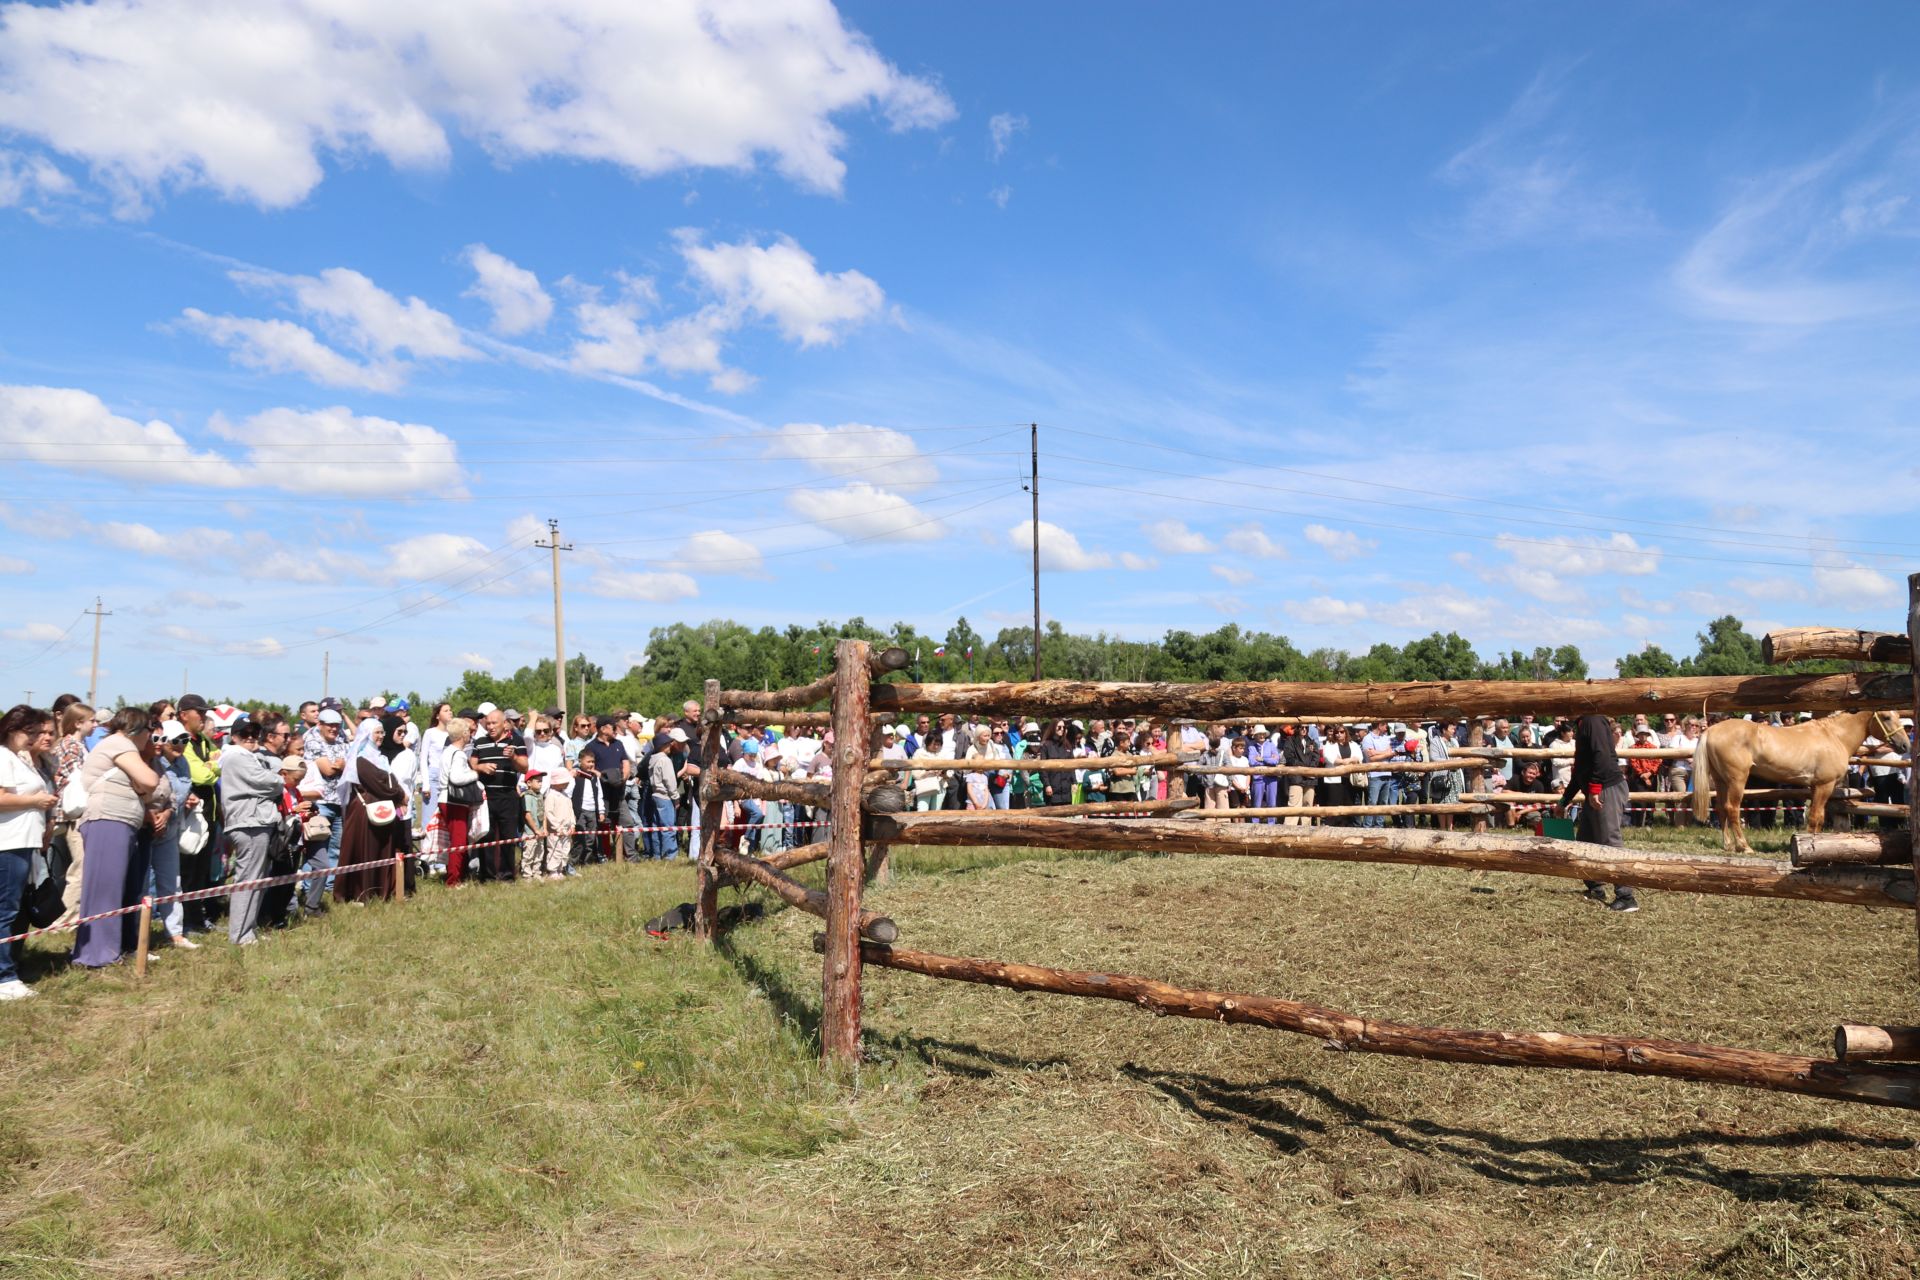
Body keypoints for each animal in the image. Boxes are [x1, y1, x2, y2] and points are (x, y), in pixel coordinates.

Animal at [1697, 710, 1904, 852]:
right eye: (1886, 717)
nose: (1904, 745)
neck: (1834, 736)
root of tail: (1711, 730)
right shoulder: (1824, 785)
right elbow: (1815, 817)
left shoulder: (1815, 787)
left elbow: (1818, 818)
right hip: (1737, 780)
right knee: (1732, 809)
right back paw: (1744, 846)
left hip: (1721, 780)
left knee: (1721, 809)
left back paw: (1728, 845)